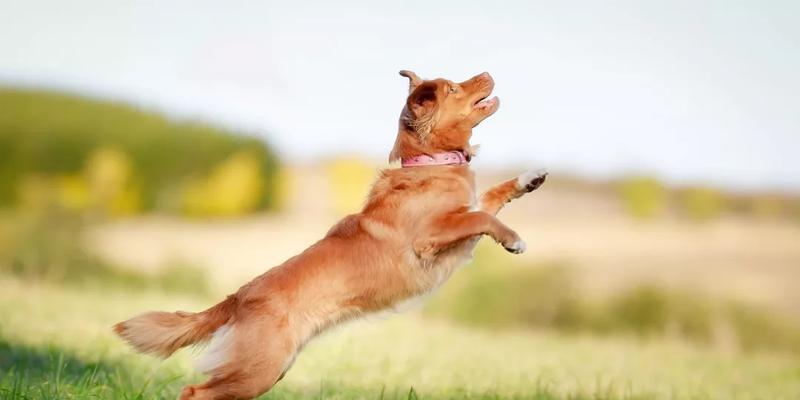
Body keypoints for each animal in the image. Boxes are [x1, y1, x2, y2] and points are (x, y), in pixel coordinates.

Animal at [115, 71, 548, 400]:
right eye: (455, 89)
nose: (487, 72)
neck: (430, 164)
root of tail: (239, 296)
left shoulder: (464, 216)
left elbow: (490, 198)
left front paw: (529, 179)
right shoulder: (432, 235)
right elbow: (484, 219)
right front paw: (513, 239)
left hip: (268, 369)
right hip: (258, 369)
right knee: (193, 393)